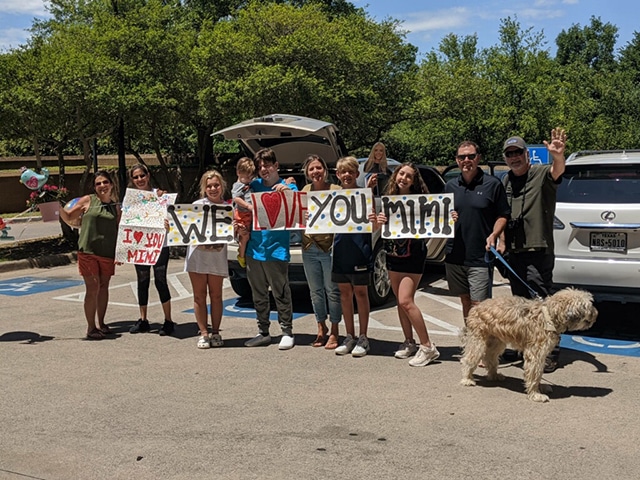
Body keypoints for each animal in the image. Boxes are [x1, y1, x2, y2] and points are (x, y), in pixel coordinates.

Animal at [462, 286, 596, 404]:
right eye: (588, 306)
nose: (596, 313)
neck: (550, 317)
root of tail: (476, 307)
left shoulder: (541, 355)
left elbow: (538, 372)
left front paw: (540, 388)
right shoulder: (536, 353)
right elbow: (534, 373)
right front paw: (535, 394)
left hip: (496, 341)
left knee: (490, 358)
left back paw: (494, 375)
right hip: (478, 341)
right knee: (469, 358)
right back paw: (467, 379)